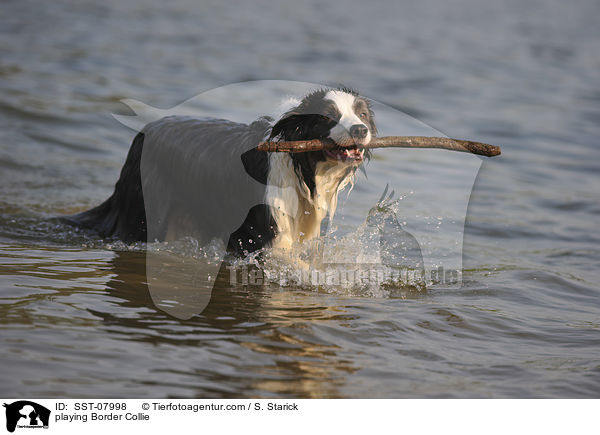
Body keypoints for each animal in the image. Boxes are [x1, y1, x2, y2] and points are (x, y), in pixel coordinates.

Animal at [69, 89, 376, 258]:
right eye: (328, 116)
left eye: (361, 115)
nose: (361, 130)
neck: (301, 168)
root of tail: (143, 133)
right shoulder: (265, 235)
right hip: (144, 214)